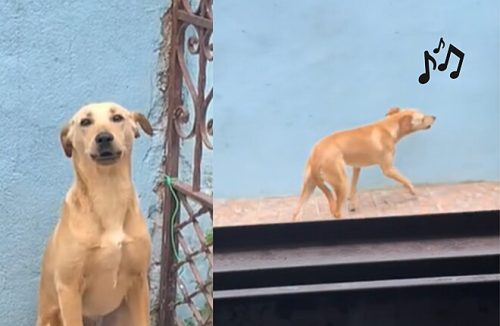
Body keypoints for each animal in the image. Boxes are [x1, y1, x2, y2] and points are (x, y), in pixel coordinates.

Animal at [36, 100, 153, 324]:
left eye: (117, 118)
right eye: (85, 122)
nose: (104, 137)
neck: (108, 193)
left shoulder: (139, 281)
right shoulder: (69, 288)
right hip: (51, 317)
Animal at [292, 107, 436, 219]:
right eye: (422, 118)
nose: (434, 117)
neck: (388, 126)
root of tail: (316, 155)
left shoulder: (357, 167)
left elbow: (354, 187)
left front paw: (352, 204)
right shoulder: (388, 169)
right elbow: (405, 179)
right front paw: (412, 190)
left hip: (309, 186)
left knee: (296, 212)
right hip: (340, 182)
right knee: (336, 212)